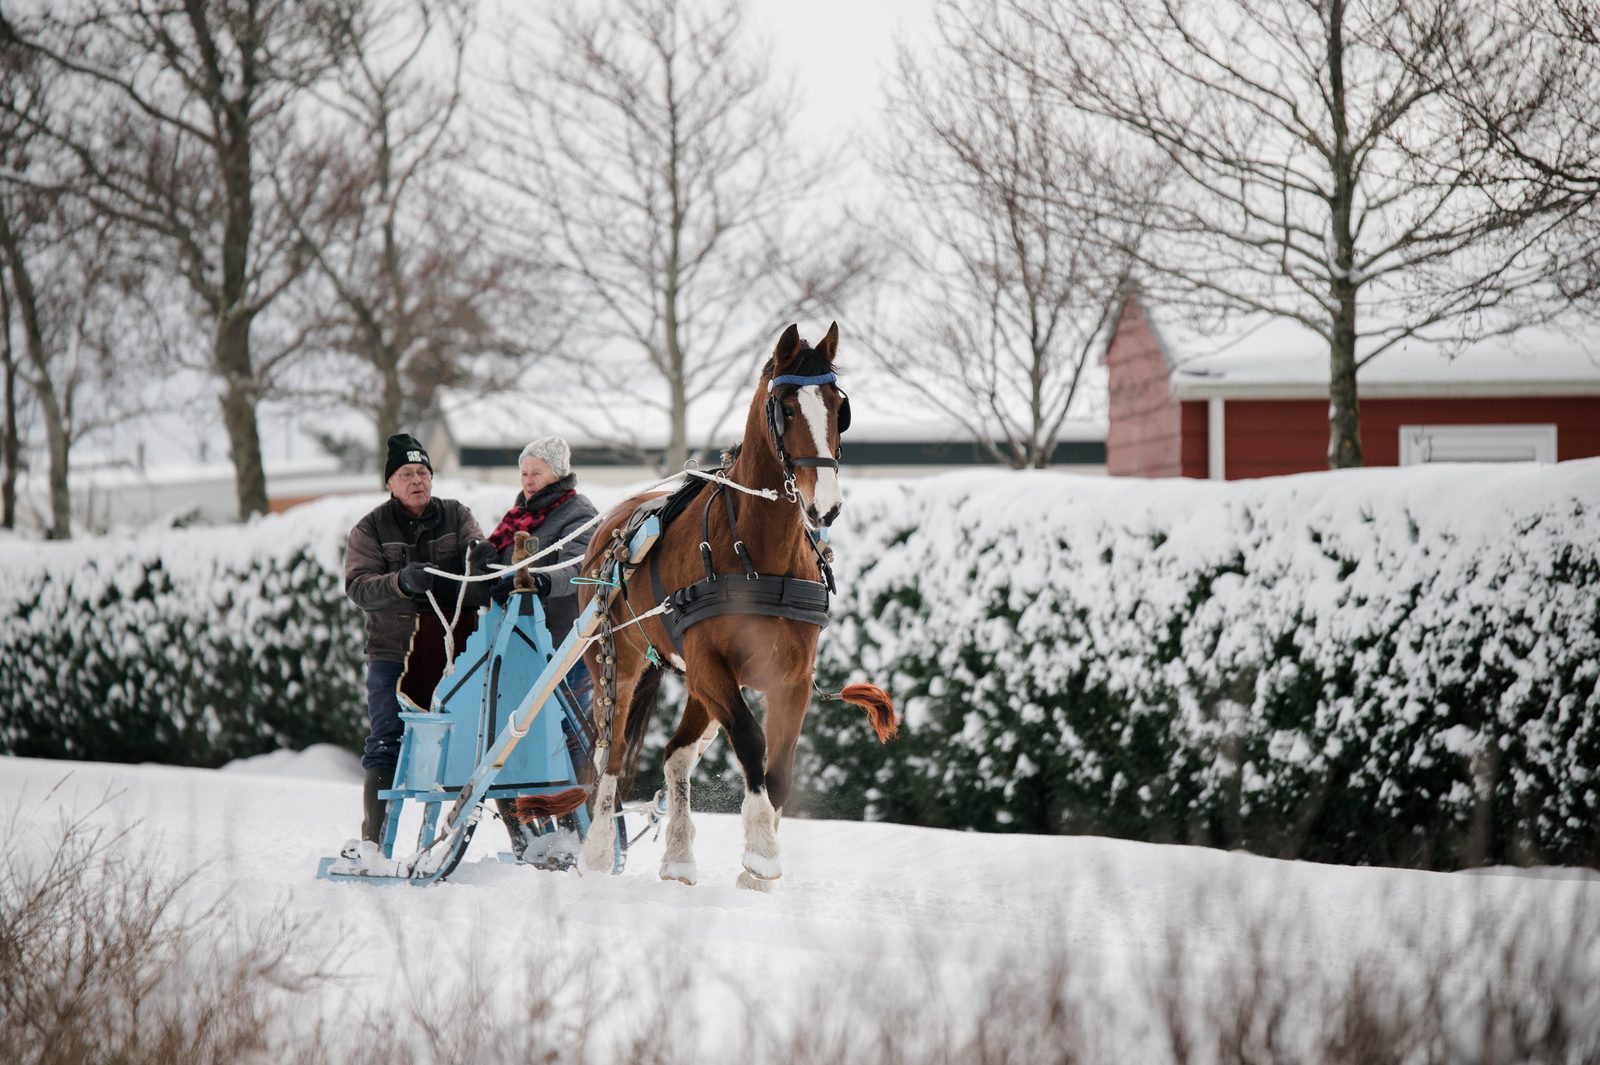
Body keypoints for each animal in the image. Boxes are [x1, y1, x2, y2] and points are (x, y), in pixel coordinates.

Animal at [562, 322, 896, 889]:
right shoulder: (711, 665)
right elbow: (751, 741)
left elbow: (779, 768)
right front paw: (760, 851)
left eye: (838, 407)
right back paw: (599, 851)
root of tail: (614, 522)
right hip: (620, 664)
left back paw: (677, 858)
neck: (761, 554)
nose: (825, 506)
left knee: (675, 755)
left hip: (697, 682)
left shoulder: (791, 678)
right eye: (787, 408)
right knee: (610, 753)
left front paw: (756, 875)